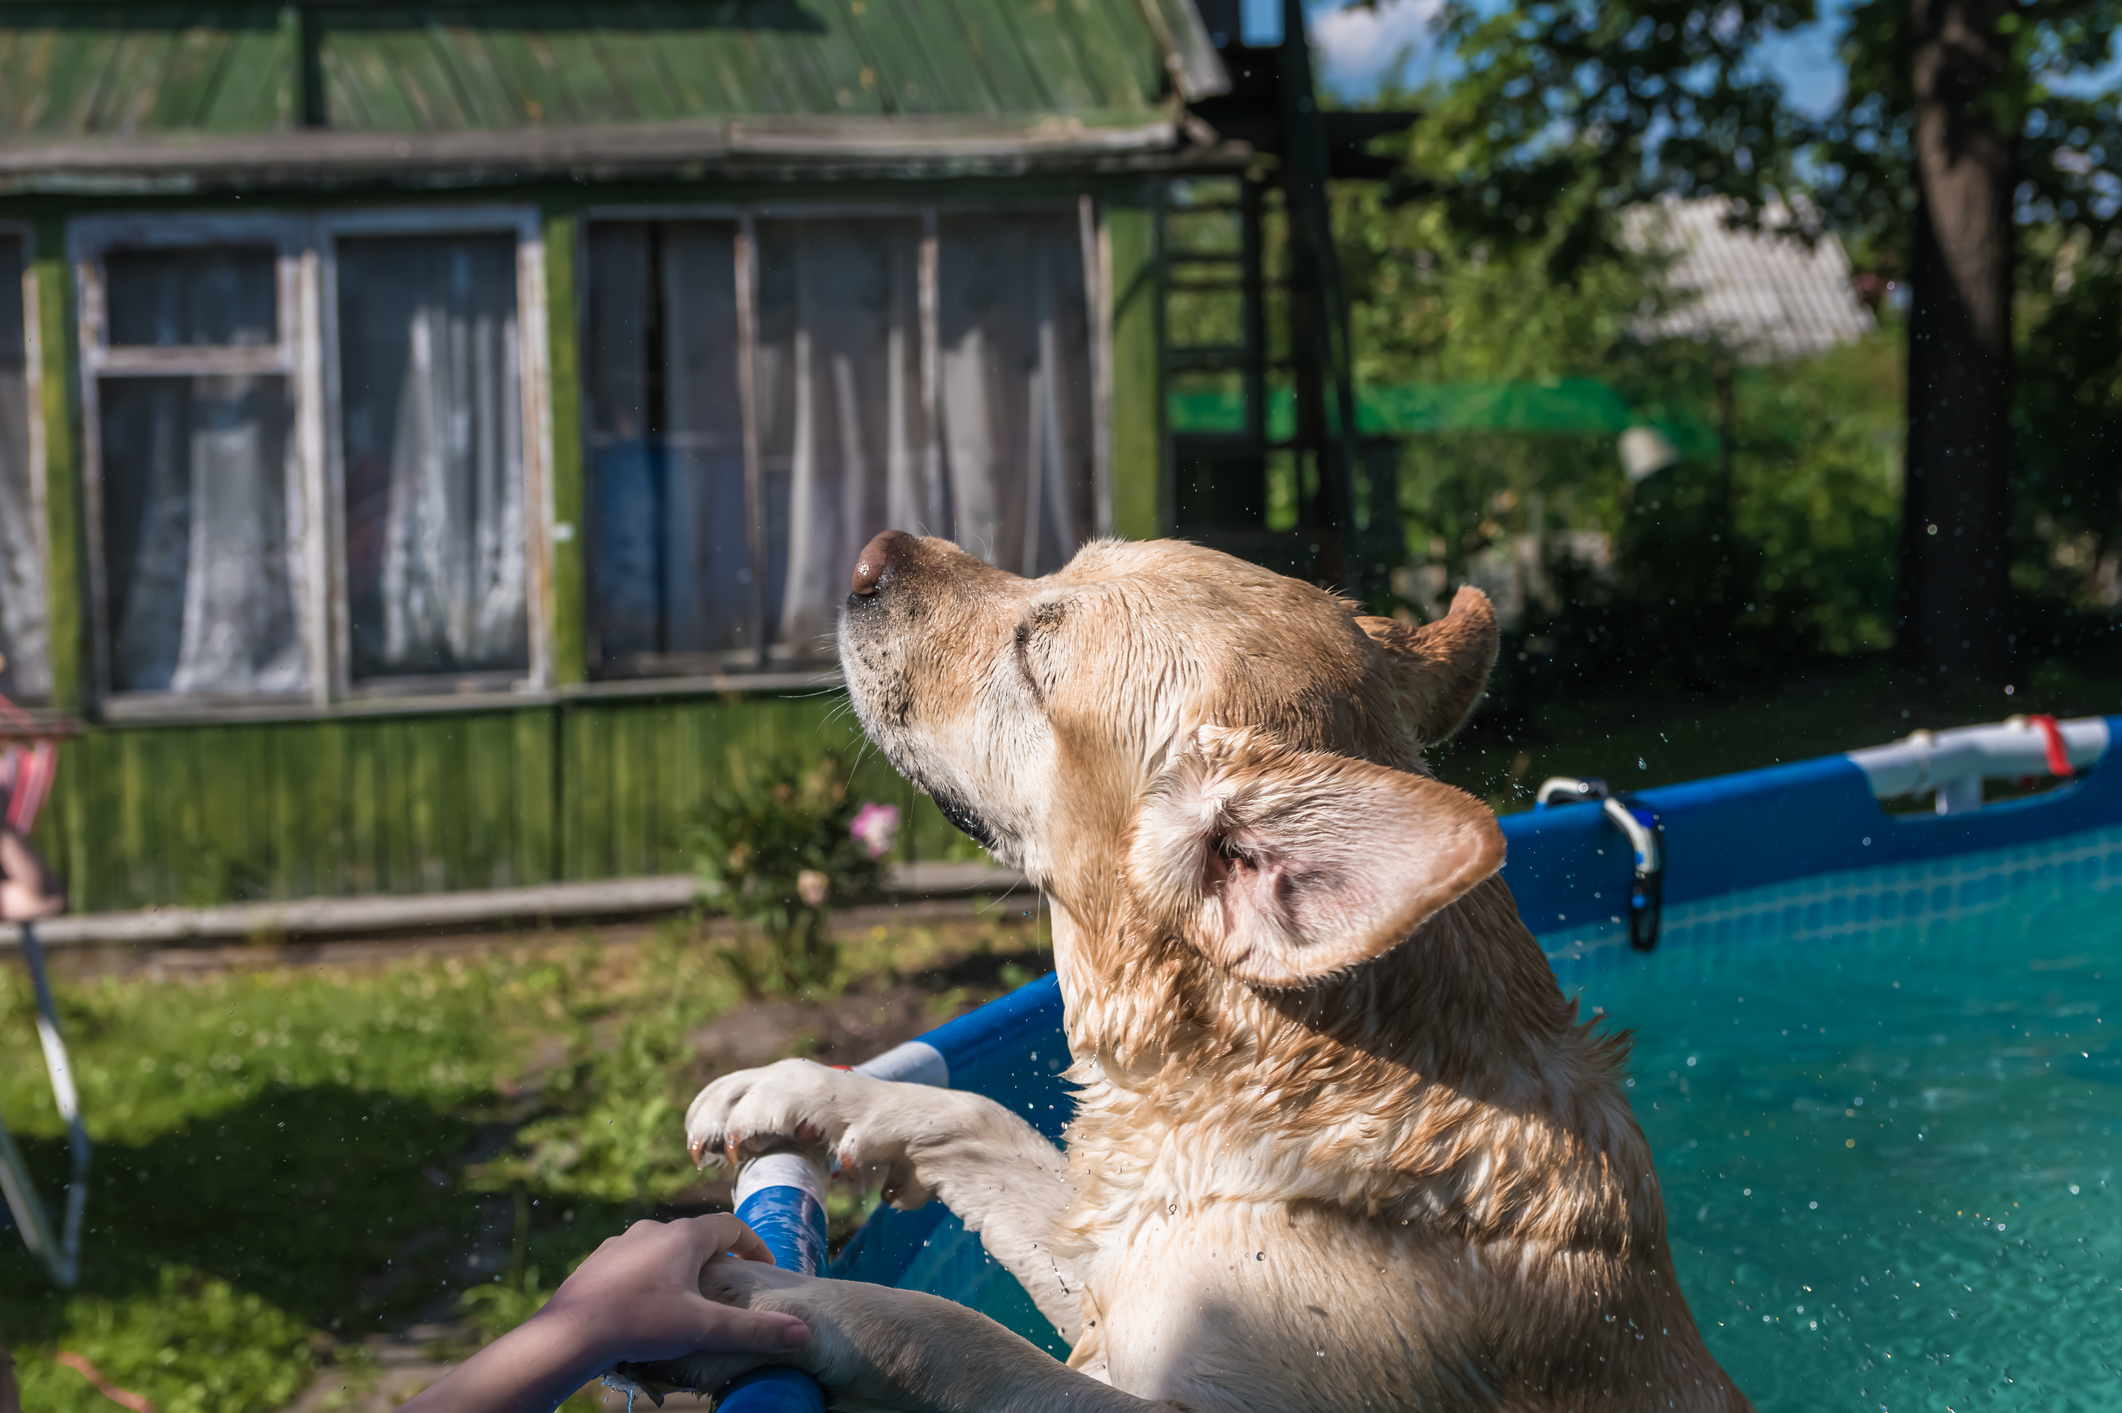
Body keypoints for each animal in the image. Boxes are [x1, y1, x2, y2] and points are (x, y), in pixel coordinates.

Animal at [670, 530, 1748, 1408]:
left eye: (1034, 658)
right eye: (1058, 565)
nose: (868, 555)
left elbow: (955, 1334)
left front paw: (773, 1295)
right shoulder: (1119, 1264)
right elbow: (977, 1116)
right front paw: (803, 1089)